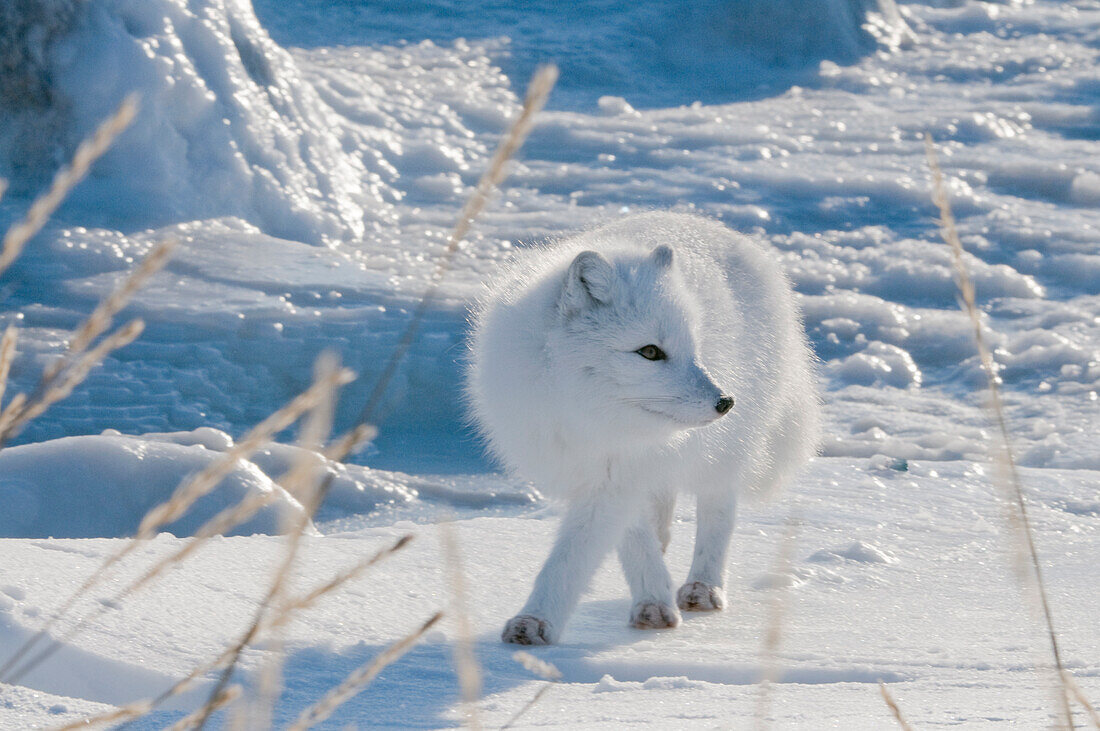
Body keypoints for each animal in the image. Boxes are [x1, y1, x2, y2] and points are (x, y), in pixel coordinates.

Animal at [464, 211, 818, 646]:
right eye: (650, 352)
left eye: (694, 349)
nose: (725, 402)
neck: (587, 414)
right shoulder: (604, 470)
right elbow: (632, 538)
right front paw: (653, 598)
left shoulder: (615, 477)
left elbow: (571, 557)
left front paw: (536, 620)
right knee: (662, 506)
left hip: (725, 452)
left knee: (717, 512)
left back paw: (704, 586)